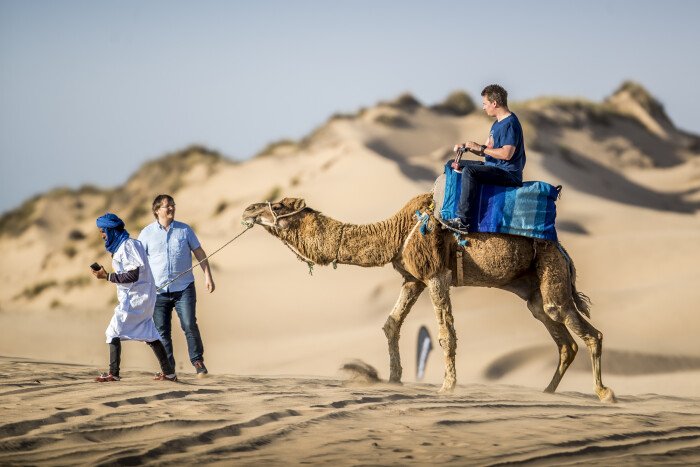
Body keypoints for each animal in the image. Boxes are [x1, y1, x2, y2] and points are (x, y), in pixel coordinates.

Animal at [243, 194, 616, 402]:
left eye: (279, 205)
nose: (248, 209)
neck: (394, 233)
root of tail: (564, 252)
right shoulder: (413, 279)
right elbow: (391, 324)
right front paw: (394, 379)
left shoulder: (436, 275)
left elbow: (445, 334)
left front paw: (448, 386)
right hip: (532, 290)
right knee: (561, 337)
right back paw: (548, 392)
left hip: (551, 272)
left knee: (587, 331)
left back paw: (604, 393)